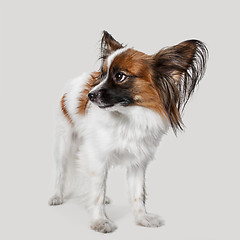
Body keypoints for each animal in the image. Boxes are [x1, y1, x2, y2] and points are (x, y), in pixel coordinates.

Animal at [48, 31, 208, 233]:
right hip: (65, 143)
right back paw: (57, 196)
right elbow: (97, 192)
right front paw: (100, 221)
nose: (90, 95)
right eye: (102, 75)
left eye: (120, 76)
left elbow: (138, 194)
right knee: (61, 172)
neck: (128, 117)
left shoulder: (138, 163)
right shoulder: (97, 157)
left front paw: (142, 218)